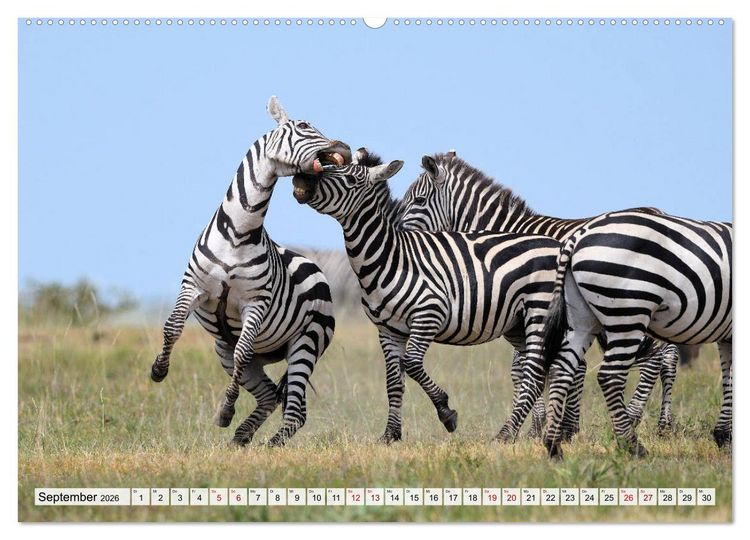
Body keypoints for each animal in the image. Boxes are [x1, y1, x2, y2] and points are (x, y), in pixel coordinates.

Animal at [149, 96, 351, 446]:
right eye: (304, 126)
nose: (347, 148)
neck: (238, 232)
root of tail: (317, 268)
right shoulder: (193, 287)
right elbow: (172, 326)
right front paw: (159, 370)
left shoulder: (254, 303)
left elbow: (242, 353)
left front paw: (226, 409)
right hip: (223, 347)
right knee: (271, 396)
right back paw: (241, 438)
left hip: (306, 342)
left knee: (294, 410)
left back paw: (268, 444)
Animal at [291, 149, 560, 443]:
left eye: (350, 179)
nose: (302, 180)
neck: (391, 258)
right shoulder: (387, 330)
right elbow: (394, 382)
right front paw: (390, 434)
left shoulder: (429, 315)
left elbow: (411, 364)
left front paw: (446, 412)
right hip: (517, 326)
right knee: (534, 373)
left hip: (537, 313)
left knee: (533, 372)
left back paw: (506, 434)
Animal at [398, 152, 680, 437]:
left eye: (418, 200)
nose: (399, 232)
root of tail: (659, 213)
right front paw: (554, 425)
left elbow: (525, 367)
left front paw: (539, 426)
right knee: (668, 356)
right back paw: (663, 425)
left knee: (655, 359)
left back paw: (633, 416)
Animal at [541, 210, 732, 458]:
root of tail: (578, 235)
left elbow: (728, 377)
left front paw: (724, 435)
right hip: (629, 310)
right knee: (611, 375)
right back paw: (633, 445)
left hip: (583, 317)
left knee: (561, 368)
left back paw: (554, 446)